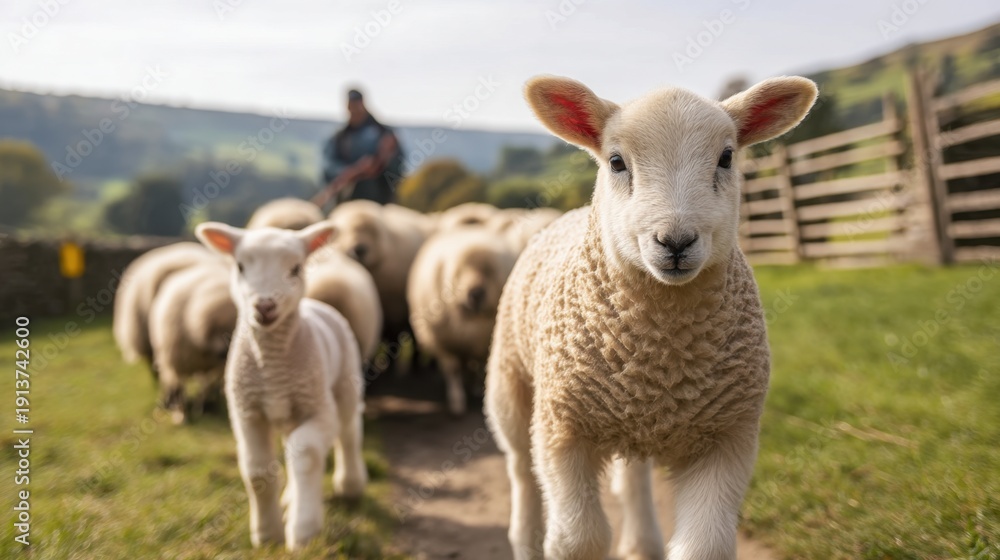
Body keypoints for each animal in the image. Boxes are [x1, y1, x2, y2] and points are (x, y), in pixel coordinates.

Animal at [148, 260, 237, 424]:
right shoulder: (176, 364)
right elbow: (179, 389)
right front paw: (181, 415)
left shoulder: (218, 367)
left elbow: (207, 386)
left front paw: (202, 407)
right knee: (170, 382)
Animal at [196, 221, 367, 550]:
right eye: (240, 266)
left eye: (296, 268)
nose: (265, 305)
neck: (274, 367)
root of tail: (318, 303)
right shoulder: (246, 413)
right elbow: (258, 471)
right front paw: (267, 534)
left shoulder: (319, 410)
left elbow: (305, 452)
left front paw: (304, 530)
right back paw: (291, 498)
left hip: (345, 384)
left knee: (348, 433)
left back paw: (350, 485)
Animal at [407, 227, 518, 415]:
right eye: (460, 272)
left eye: (489, 271)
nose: (476, 294)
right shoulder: (444, 342)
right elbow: (453, 370)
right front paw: (457, 402)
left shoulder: (483, 342)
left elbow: (482, 366)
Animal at [484, 75, 817, 560]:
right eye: (616, 162)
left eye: (726, 157)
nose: (675, 241)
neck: (661, 353)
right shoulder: (563, 427)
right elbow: (578, 539)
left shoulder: (729, 437)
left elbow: (705, 548)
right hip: (510, 384)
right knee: (522, 471)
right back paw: (525, 539)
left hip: (629, 420)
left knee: (632, 481)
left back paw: (642, 542)